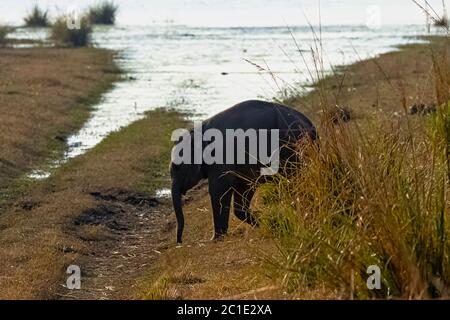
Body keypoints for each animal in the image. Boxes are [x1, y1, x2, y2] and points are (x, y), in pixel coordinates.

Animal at [169, 99, 316, 242]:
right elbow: (242, 191)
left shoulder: (222, 159)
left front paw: (216, 239)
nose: (180, 241)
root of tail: (311, 126)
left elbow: (218, 190)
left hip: (292, 150)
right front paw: (270, 224)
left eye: (177, 167)